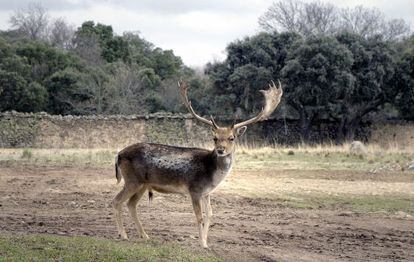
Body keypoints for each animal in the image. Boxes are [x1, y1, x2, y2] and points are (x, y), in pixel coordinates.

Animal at [111, 80, 284, 248]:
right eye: (214, 138)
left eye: (232, 138)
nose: (220, 150)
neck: (212, 175)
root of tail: (119, 154)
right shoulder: (194, 189)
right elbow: (199, 217)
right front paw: (201, 243)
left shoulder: (206, 192)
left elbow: (210, 215)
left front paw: (206, 243)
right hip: (132, 180)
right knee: (117, 201)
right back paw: (123, 235)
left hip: (143, 184)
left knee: (131, 204)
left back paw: (144, 235)